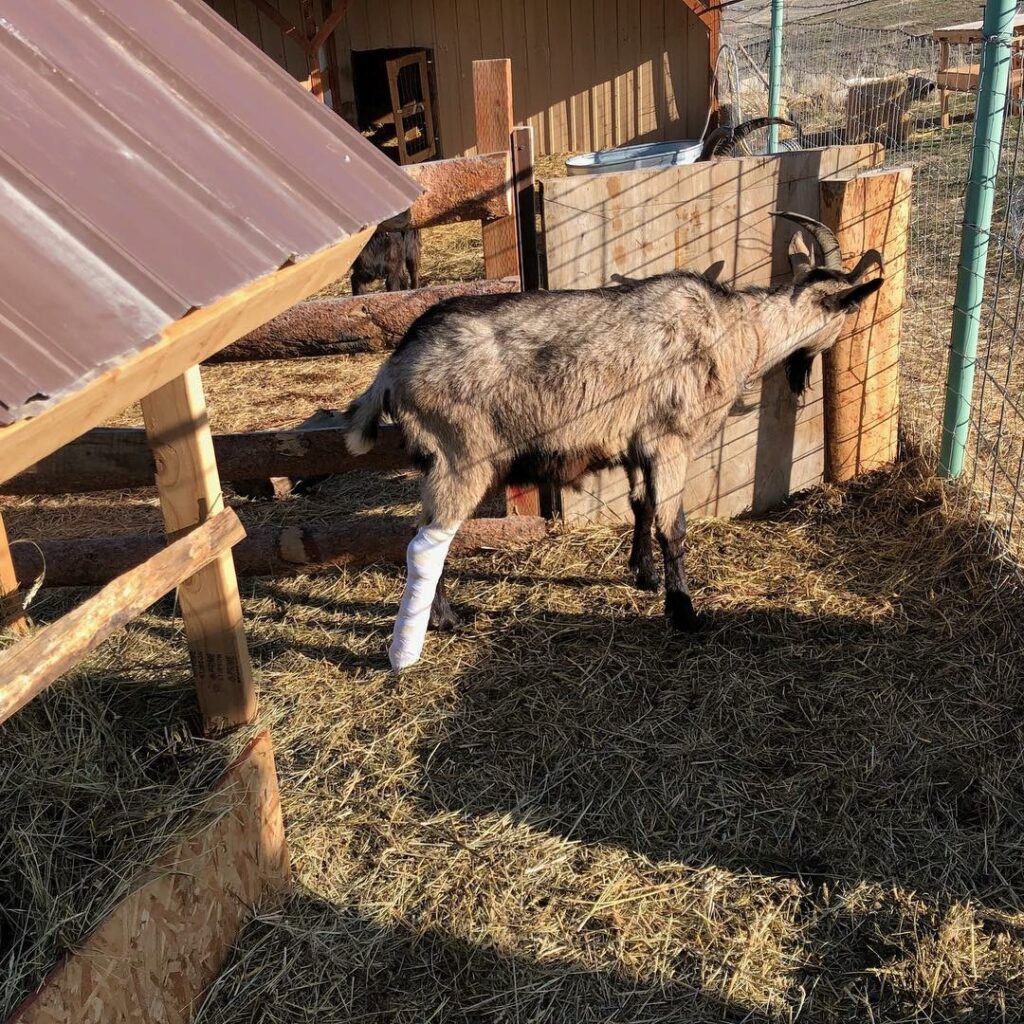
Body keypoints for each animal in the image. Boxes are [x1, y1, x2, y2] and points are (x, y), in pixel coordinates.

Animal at [344, 213, 884, 670]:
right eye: (849, 312)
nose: (804, 380)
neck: (735, 330)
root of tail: (393, 367)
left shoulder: (636, 445)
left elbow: (640, 505)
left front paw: (644, 576)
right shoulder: (670, 442)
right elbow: (673, 526)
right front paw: (684, 612)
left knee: (423, 534)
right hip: (461, 458)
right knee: (426, 543)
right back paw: (430, 632)